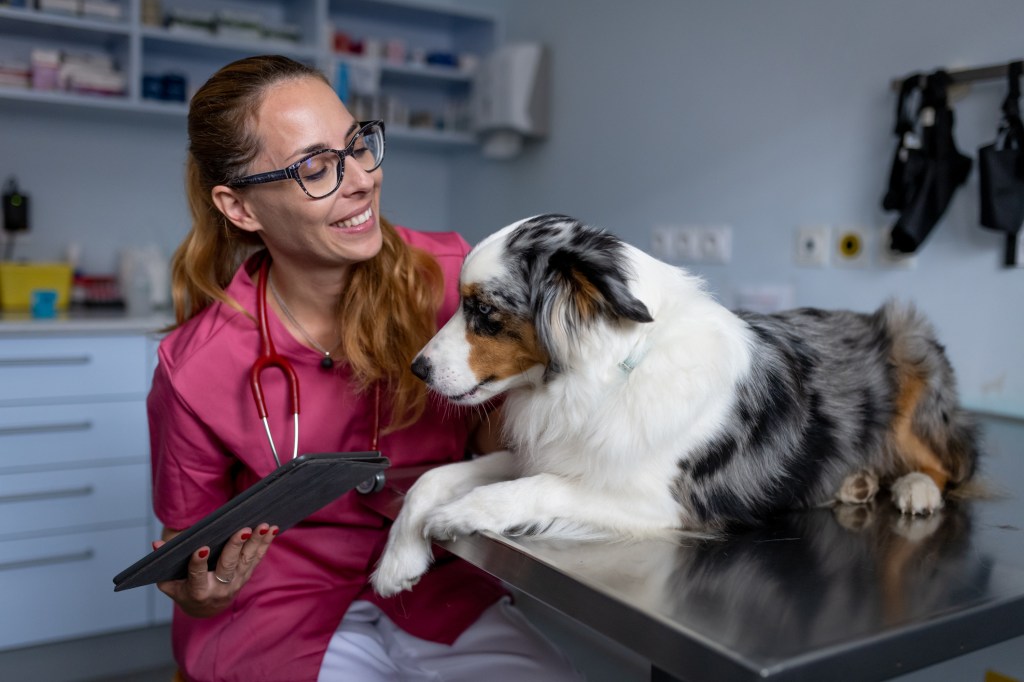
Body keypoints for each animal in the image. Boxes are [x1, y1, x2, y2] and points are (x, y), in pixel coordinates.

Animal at [372, 212, 978, 593]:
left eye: (485, 312)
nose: (417, 369)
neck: (608, 373)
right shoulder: (550, 451)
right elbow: (436, 476)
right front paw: (399, 558)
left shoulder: (667, 503)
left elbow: (536, 488)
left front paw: (459, 514)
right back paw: (860, 482)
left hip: (911, 349)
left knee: (954, 465)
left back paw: (913, 488)